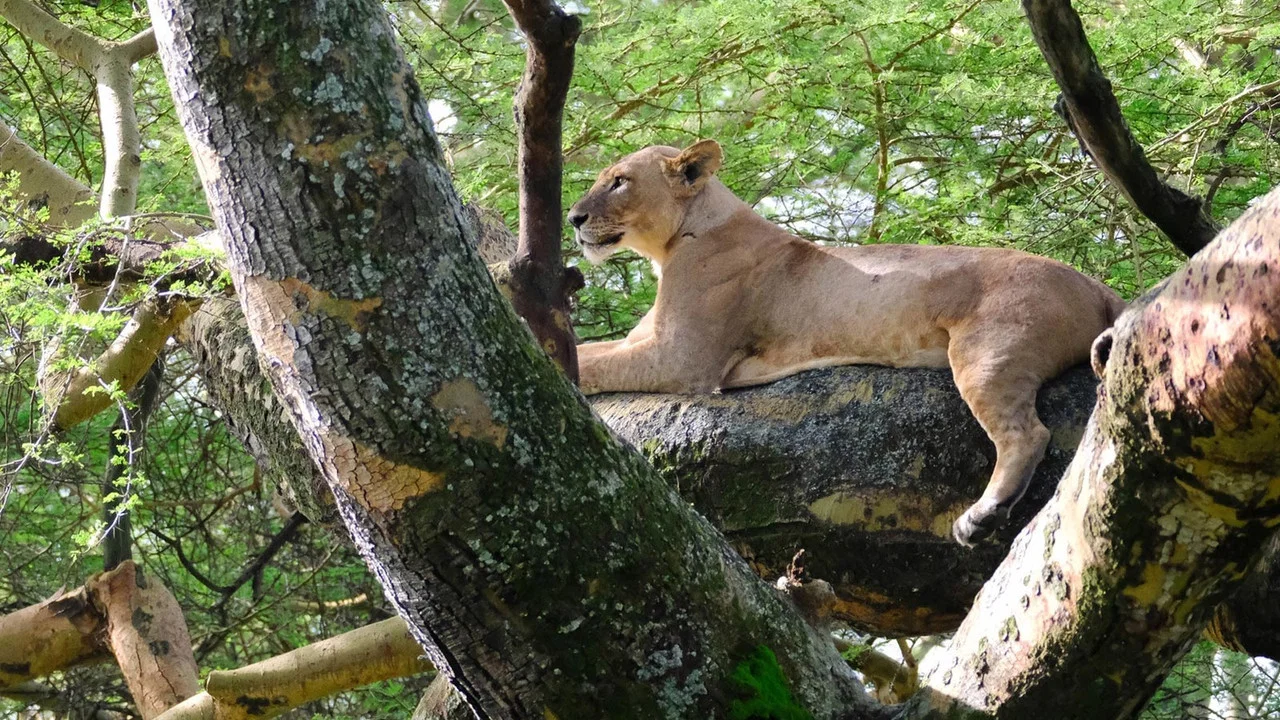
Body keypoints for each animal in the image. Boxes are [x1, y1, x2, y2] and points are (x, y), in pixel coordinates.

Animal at [568, 140, 1125, 546]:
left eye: (618, 181)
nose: (573, 219)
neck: (671, 246)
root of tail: (1097, 284)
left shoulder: (684, 360)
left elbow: (590, 365)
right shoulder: (650, 342)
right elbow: (593, 352)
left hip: (985, 353)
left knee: (1026, 434)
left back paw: (981, 516)